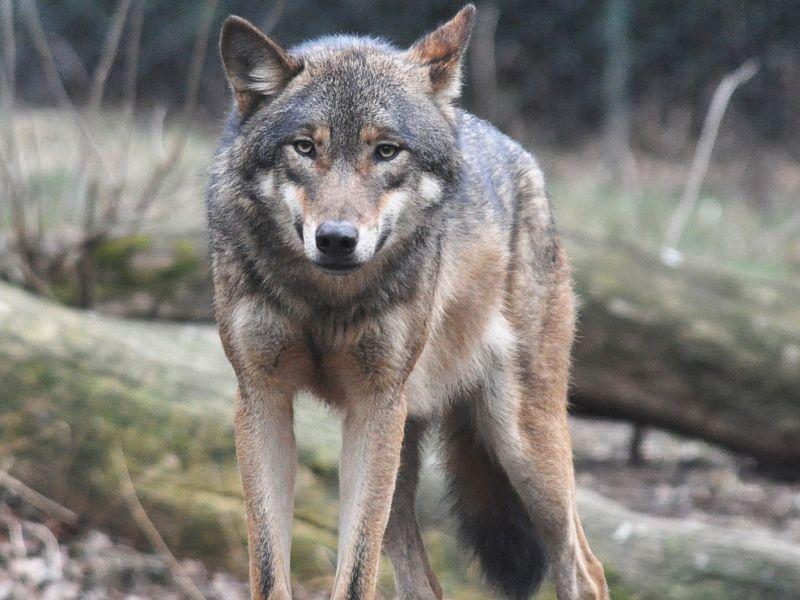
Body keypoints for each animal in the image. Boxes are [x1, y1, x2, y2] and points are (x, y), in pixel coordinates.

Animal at [206, 5, 608, 600]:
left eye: (386, 151)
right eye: (305, 147)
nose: (336, 239)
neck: (325, 303)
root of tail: (524, 159)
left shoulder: (375, 405)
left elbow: (354, 577)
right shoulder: (262, 399)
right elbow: (269, 570)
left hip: (519, 444)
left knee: (585, 568)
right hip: (403, 452)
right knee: (424, 585)